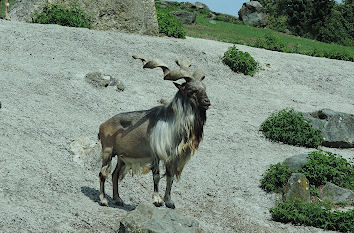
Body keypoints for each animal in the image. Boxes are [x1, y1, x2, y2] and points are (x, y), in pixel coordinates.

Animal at [97, 55, 210, 208]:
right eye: (191, 90)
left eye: (204, 88)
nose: (207, 102)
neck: (172, 124)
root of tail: (103, 125)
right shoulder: (156, 155)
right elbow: (156, 176)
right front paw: (157, 200)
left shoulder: (171, 158)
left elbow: (170, 177)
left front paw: (169, 201)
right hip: (107, 151)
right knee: (103, 174)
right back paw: (103, 199)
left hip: (121, 157)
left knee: (115, 174)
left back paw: (118, 199)